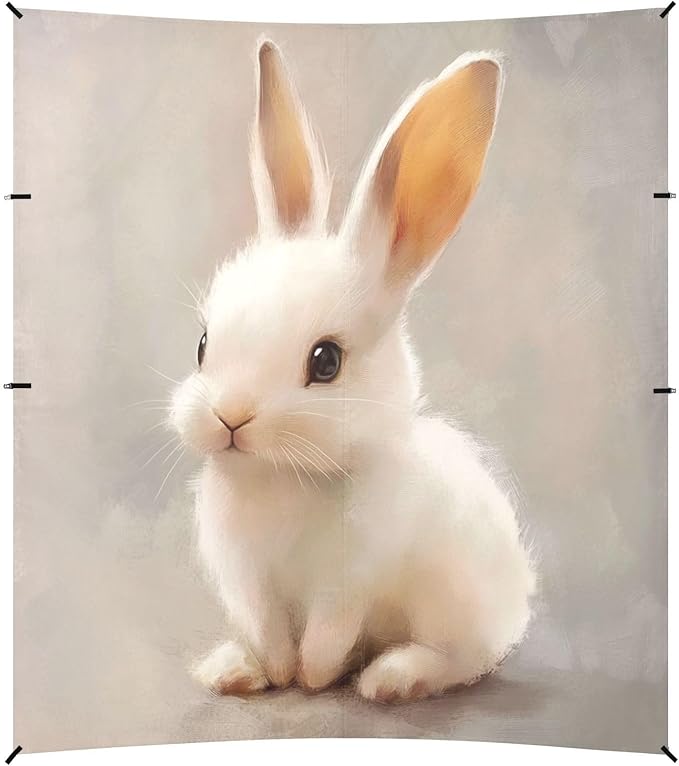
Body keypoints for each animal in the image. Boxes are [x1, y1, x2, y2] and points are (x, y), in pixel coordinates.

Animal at [171, 38, 536, 703]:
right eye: (204, 344)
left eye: (326, 362)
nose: (230, 416)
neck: (282, 476)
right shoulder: (248, 580)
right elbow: (268, 631)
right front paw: (269, 673)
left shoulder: (352, 579)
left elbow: (327, 634)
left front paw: (314, 679)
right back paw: (229, 668)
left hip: (453, 605)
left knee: (462, 659)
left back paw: (393, 678)